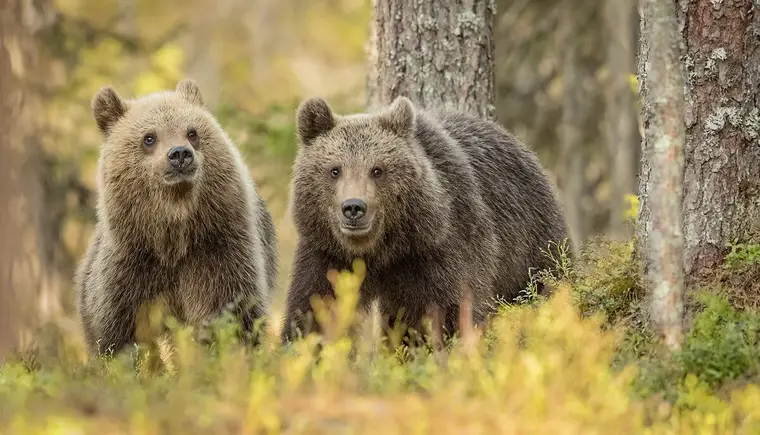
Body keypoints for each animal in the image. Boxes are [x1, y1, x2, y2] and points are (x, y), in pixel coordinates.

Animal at [77, 79, 278, 358]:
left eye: (192, 132)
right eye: (149, 137)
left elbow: (231, 313)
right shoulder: (130, 266)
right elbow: (118, 333)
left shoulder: (218, 251)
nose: (180, 154)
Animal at [280, 96, 568, 344]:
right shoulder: (327, 255)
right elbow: (315, 311)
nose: (353, 207)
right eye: (334, 170)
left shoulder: (435, 251)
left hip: (528, 243)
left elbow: (445, 312)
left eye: (377, 170)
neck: (381, 251)